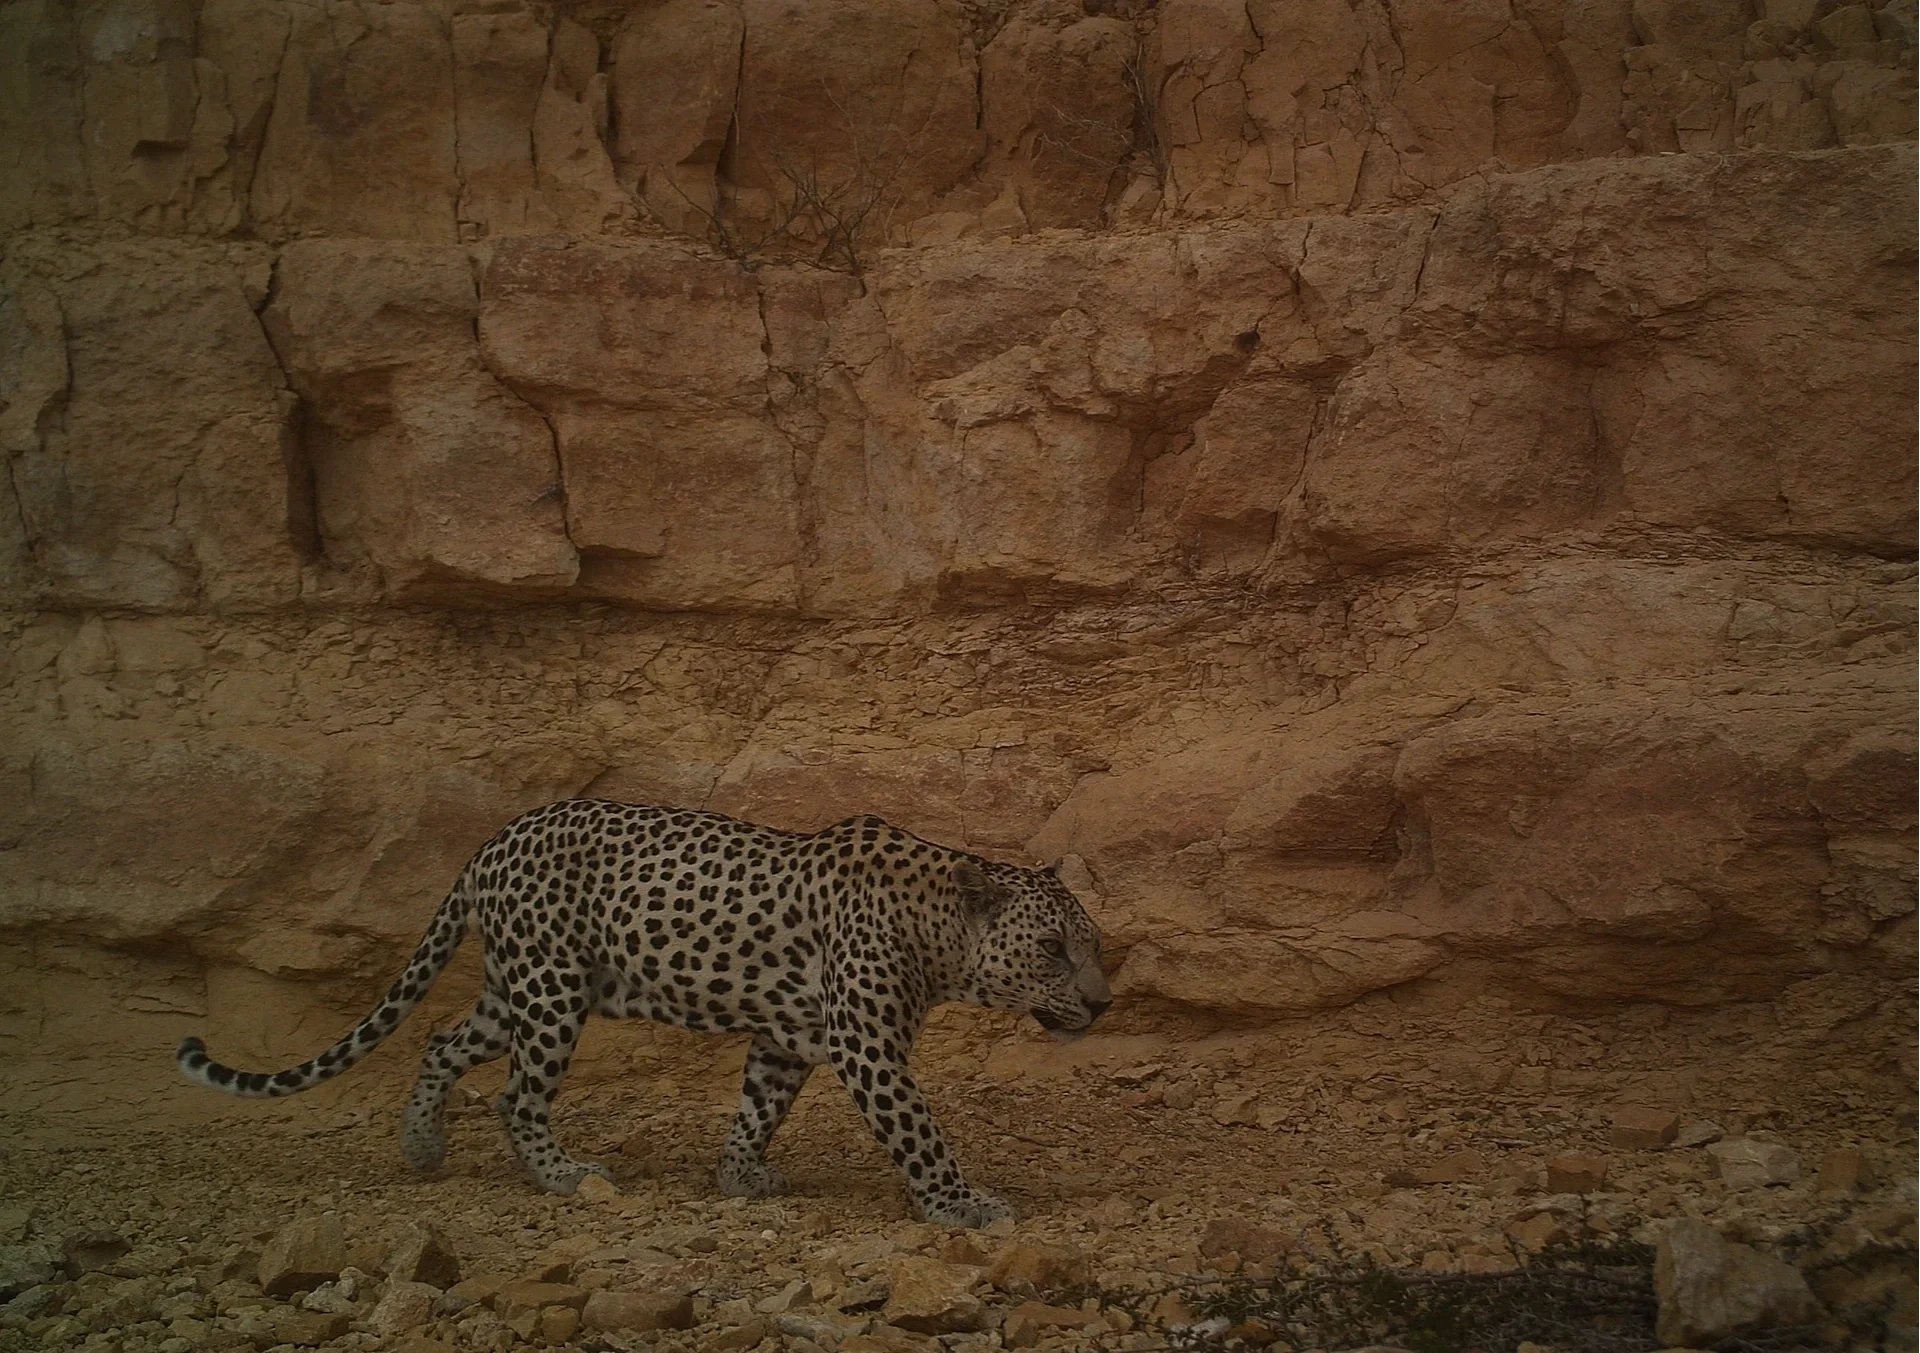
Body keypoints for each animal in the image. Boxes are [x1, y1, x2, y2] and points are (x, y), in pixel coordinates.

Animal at [176, 800, 1110, 1227]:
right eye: (1053, 949)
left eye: (1092, 945)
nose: (1103, 1000)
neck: (936, 928)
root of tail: (490, 841)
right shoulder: (868, 1048)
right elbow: (920, 1131)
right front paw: (961, 1203)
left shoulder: (786, 1038)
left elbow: (756, 1111)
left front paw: (739, 1176)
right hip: (550, 993)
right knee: (516, 1096)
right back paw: (563, 1174)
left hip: (516, 992)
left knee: (441, 1041)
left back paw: (422, 1146)